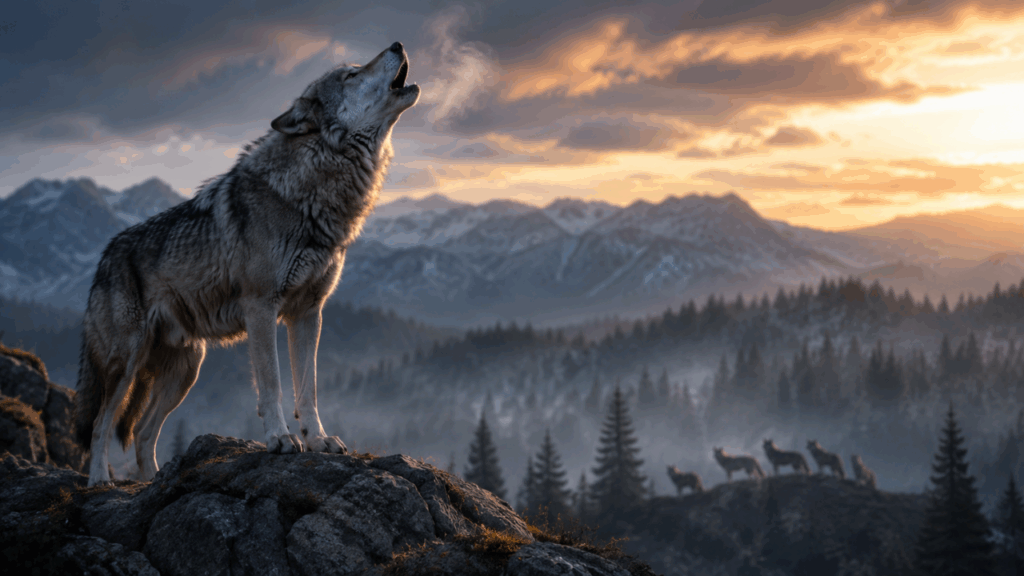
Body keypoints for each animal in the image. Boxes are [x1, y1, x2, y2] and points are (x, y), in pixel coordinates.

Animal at [74, 42, 420, 486]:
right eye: (351, 75)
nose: (397, 45)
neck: (313, 191)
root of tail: (104, 257)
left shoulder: (308, 313)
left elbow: (308, 388)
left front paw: (318, 440)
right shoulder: (261, 308)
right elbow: (272, 383)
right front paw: (280, 439)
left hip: (187, 371)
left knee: (144, 433)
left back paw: (155, 480)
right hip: (127, 364)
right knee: (101, 423)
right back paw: (101, 480)